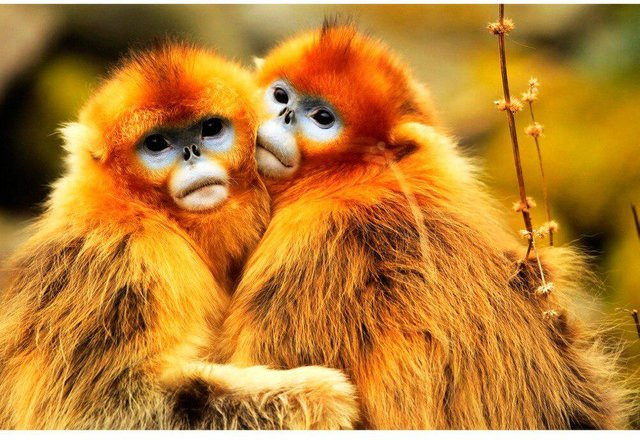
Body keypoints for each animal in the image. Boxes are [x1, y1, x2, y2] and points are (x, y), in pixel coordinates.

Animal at [0, 43, 358, 429]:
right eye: (157, 143)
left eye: (211, 129)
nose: (191, 153)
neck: (146, 209)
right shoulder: (122, 261)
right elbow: (99, 411)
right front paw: (320, 397)